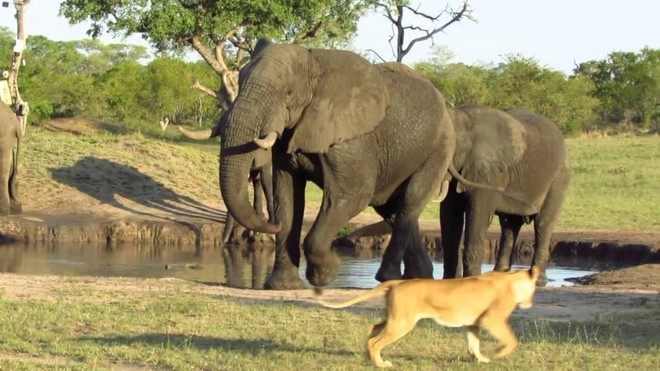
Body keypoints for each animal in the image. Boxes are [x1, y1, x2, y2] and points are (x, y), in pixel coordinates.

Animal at [217, 40, 464, 290]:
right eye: (240, 83)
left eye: (288, 93)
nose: (271, 227)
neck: (315, 64)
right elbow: (286, 197)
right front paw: (283, 286)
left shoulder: (351, 139)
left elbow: (352, 194)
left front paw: (325, 275)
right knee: (392, 208)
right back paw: (417, 278)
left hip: (439, 149)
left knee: (409, 201)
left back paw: (389, 277)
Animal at [440, 106, 568, 286]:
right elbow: (450, 217)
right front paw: (449, 282)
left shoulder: (489, 173)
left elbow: (478, 216)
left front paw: (472, 280)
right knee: (509, 225)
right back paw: (500, 274)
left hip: (559, 177)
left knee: (543, 223)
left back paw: (539, 280)